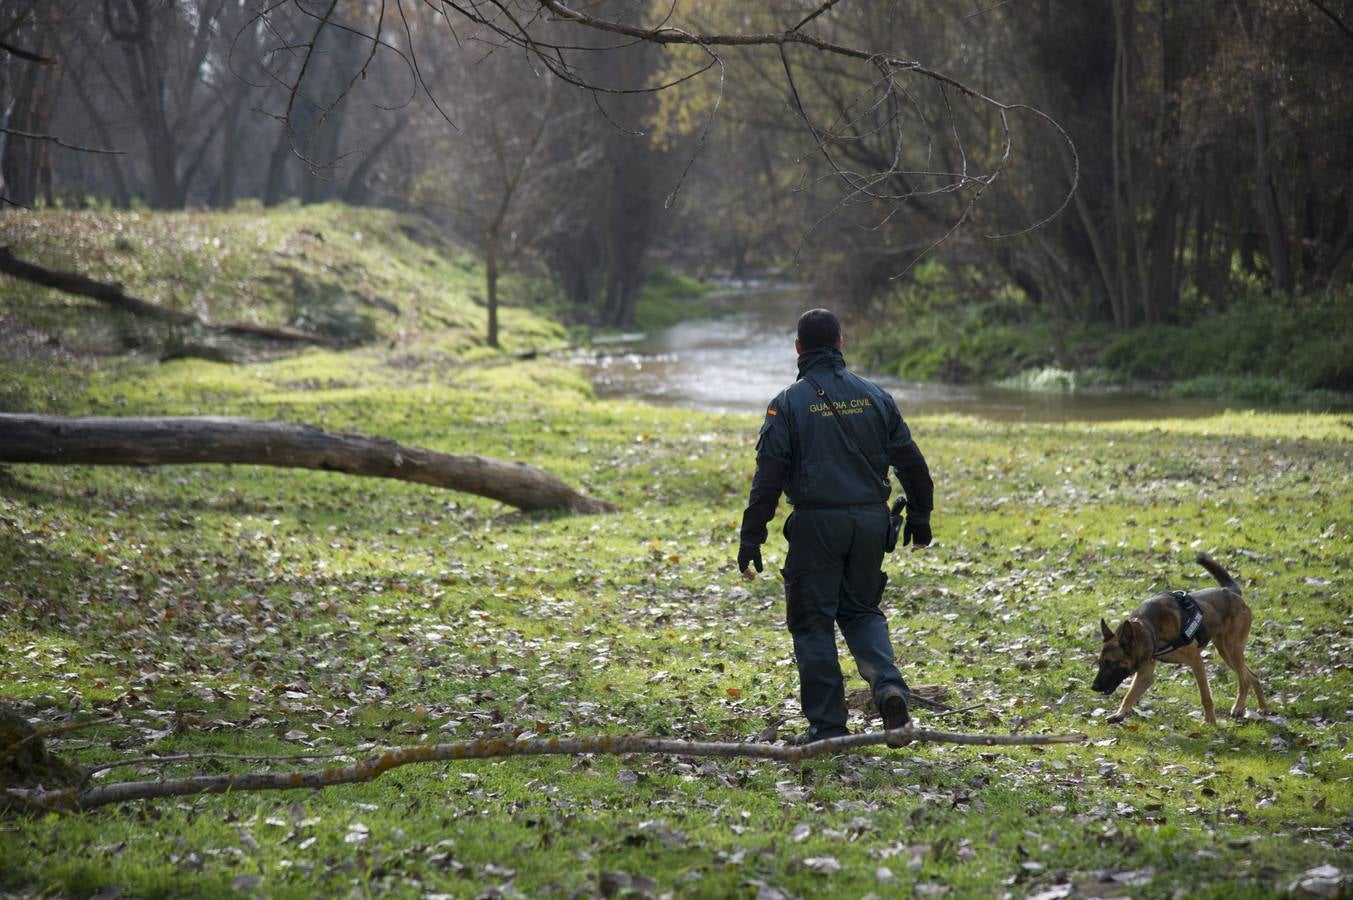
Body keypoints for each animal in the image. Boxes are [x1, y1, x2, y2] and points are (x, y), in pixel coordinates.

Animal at [1087, 552, 1266, 725]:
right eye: (1100, 663)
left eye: (1111, 663)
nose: (1094, 687)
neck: (1148, 628)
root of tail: (1232, 593)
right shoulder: (1145, 674)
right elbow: (1129, 695)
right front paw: (1120, 714)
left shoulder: (1196, 661)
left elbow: (1206, 696)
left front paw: (1210, 721)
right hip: (1226, 652)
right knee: (1252, 676)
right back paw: (1262, 707)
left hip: (1232, 650)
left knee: (1244, 679)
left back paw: (1240, 707)